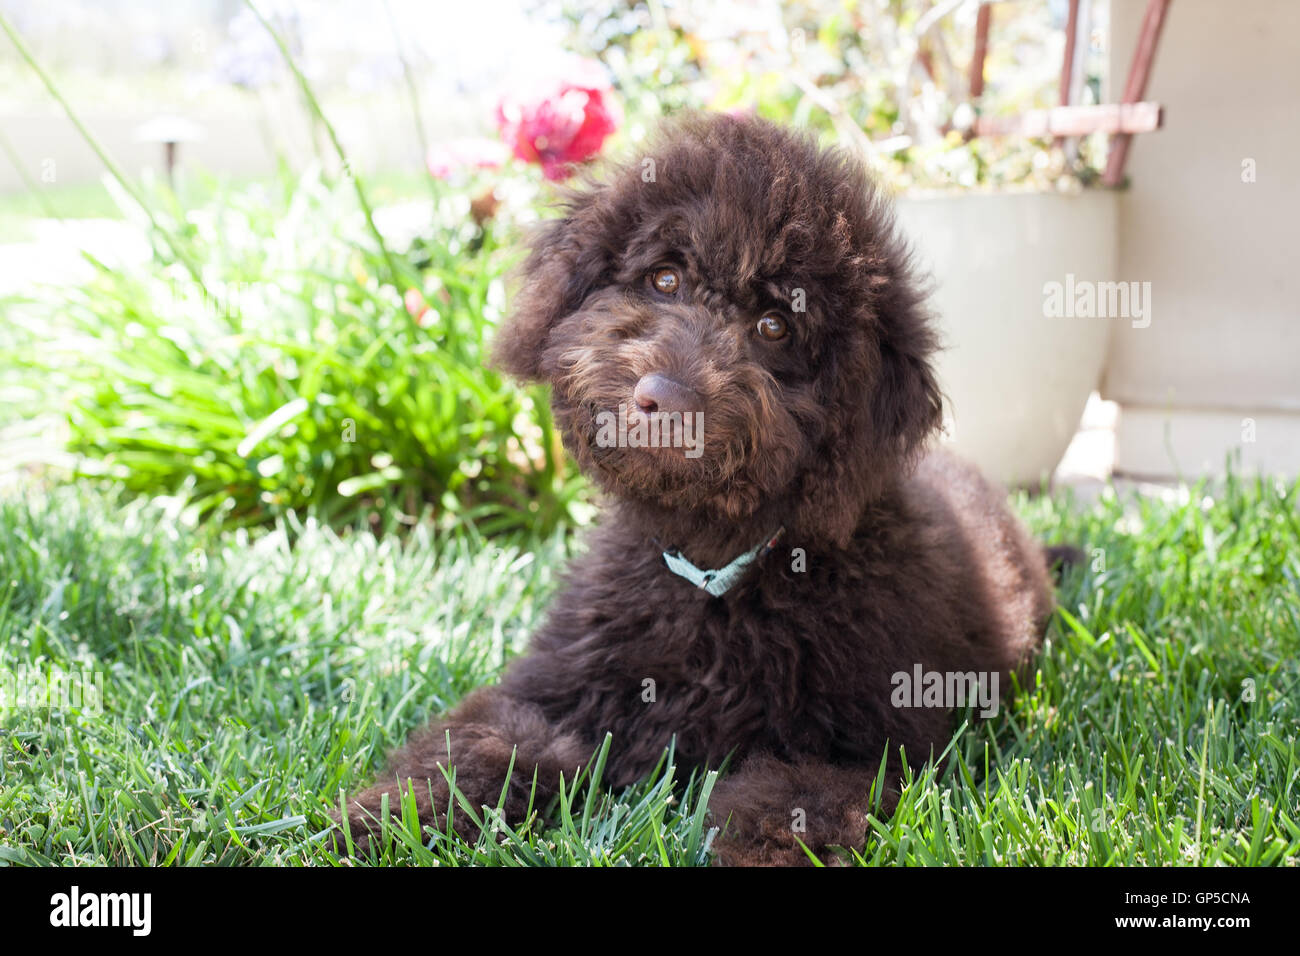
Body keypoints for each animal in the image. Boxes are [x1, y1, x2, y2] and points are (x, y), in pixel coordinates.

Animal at [332, 111, 1055, 868]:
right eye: (665, 278)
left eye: (775, 325)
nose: (667, 398)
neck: (713, 571)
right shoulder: (551, 689)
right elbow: (483, 746)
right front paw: (387, 818)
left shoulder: (872, 752)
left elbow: (789, 803)